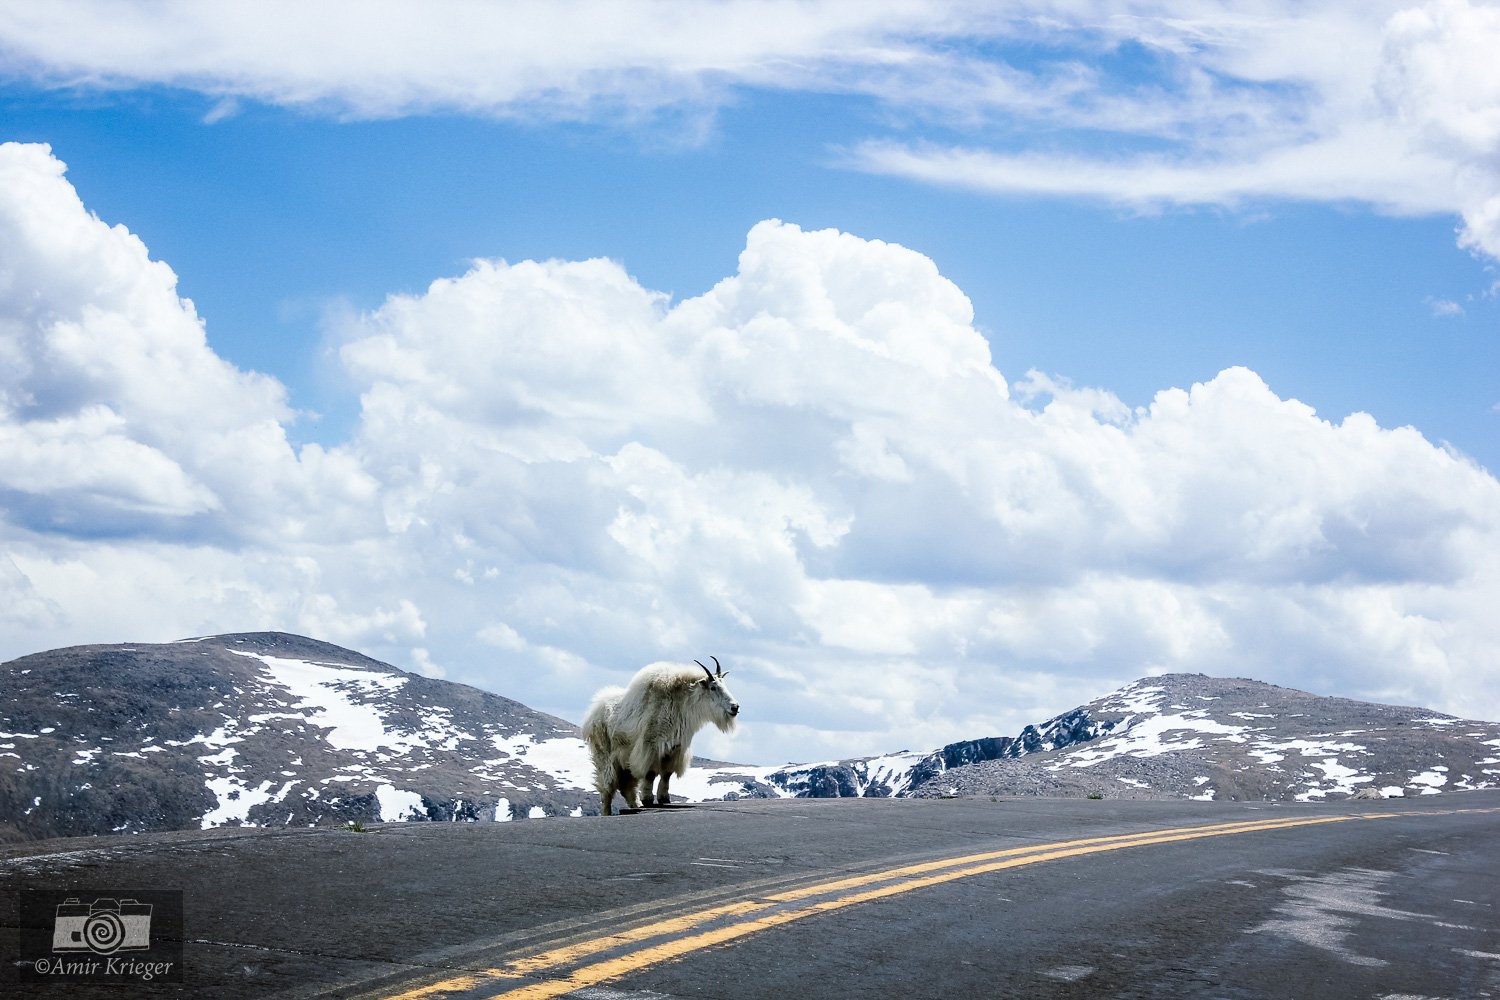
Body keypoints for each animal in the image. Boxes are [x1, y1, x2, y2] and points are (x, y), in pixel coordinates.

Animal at [579, 656, 738, 815]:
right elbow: (650, 773)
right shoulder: (650, 747)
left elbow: (667, 774)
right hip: (605, 757)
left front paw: (664, 798)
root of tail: (591, 717)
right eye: (713, 687)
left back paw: (636, 806)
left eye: (724, 684)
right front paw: (648, 799)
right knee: (607, 788)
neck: (680, 705)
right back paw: (607, 812)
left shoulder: (674, 749)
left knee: (627, 788)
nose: (735, 707)